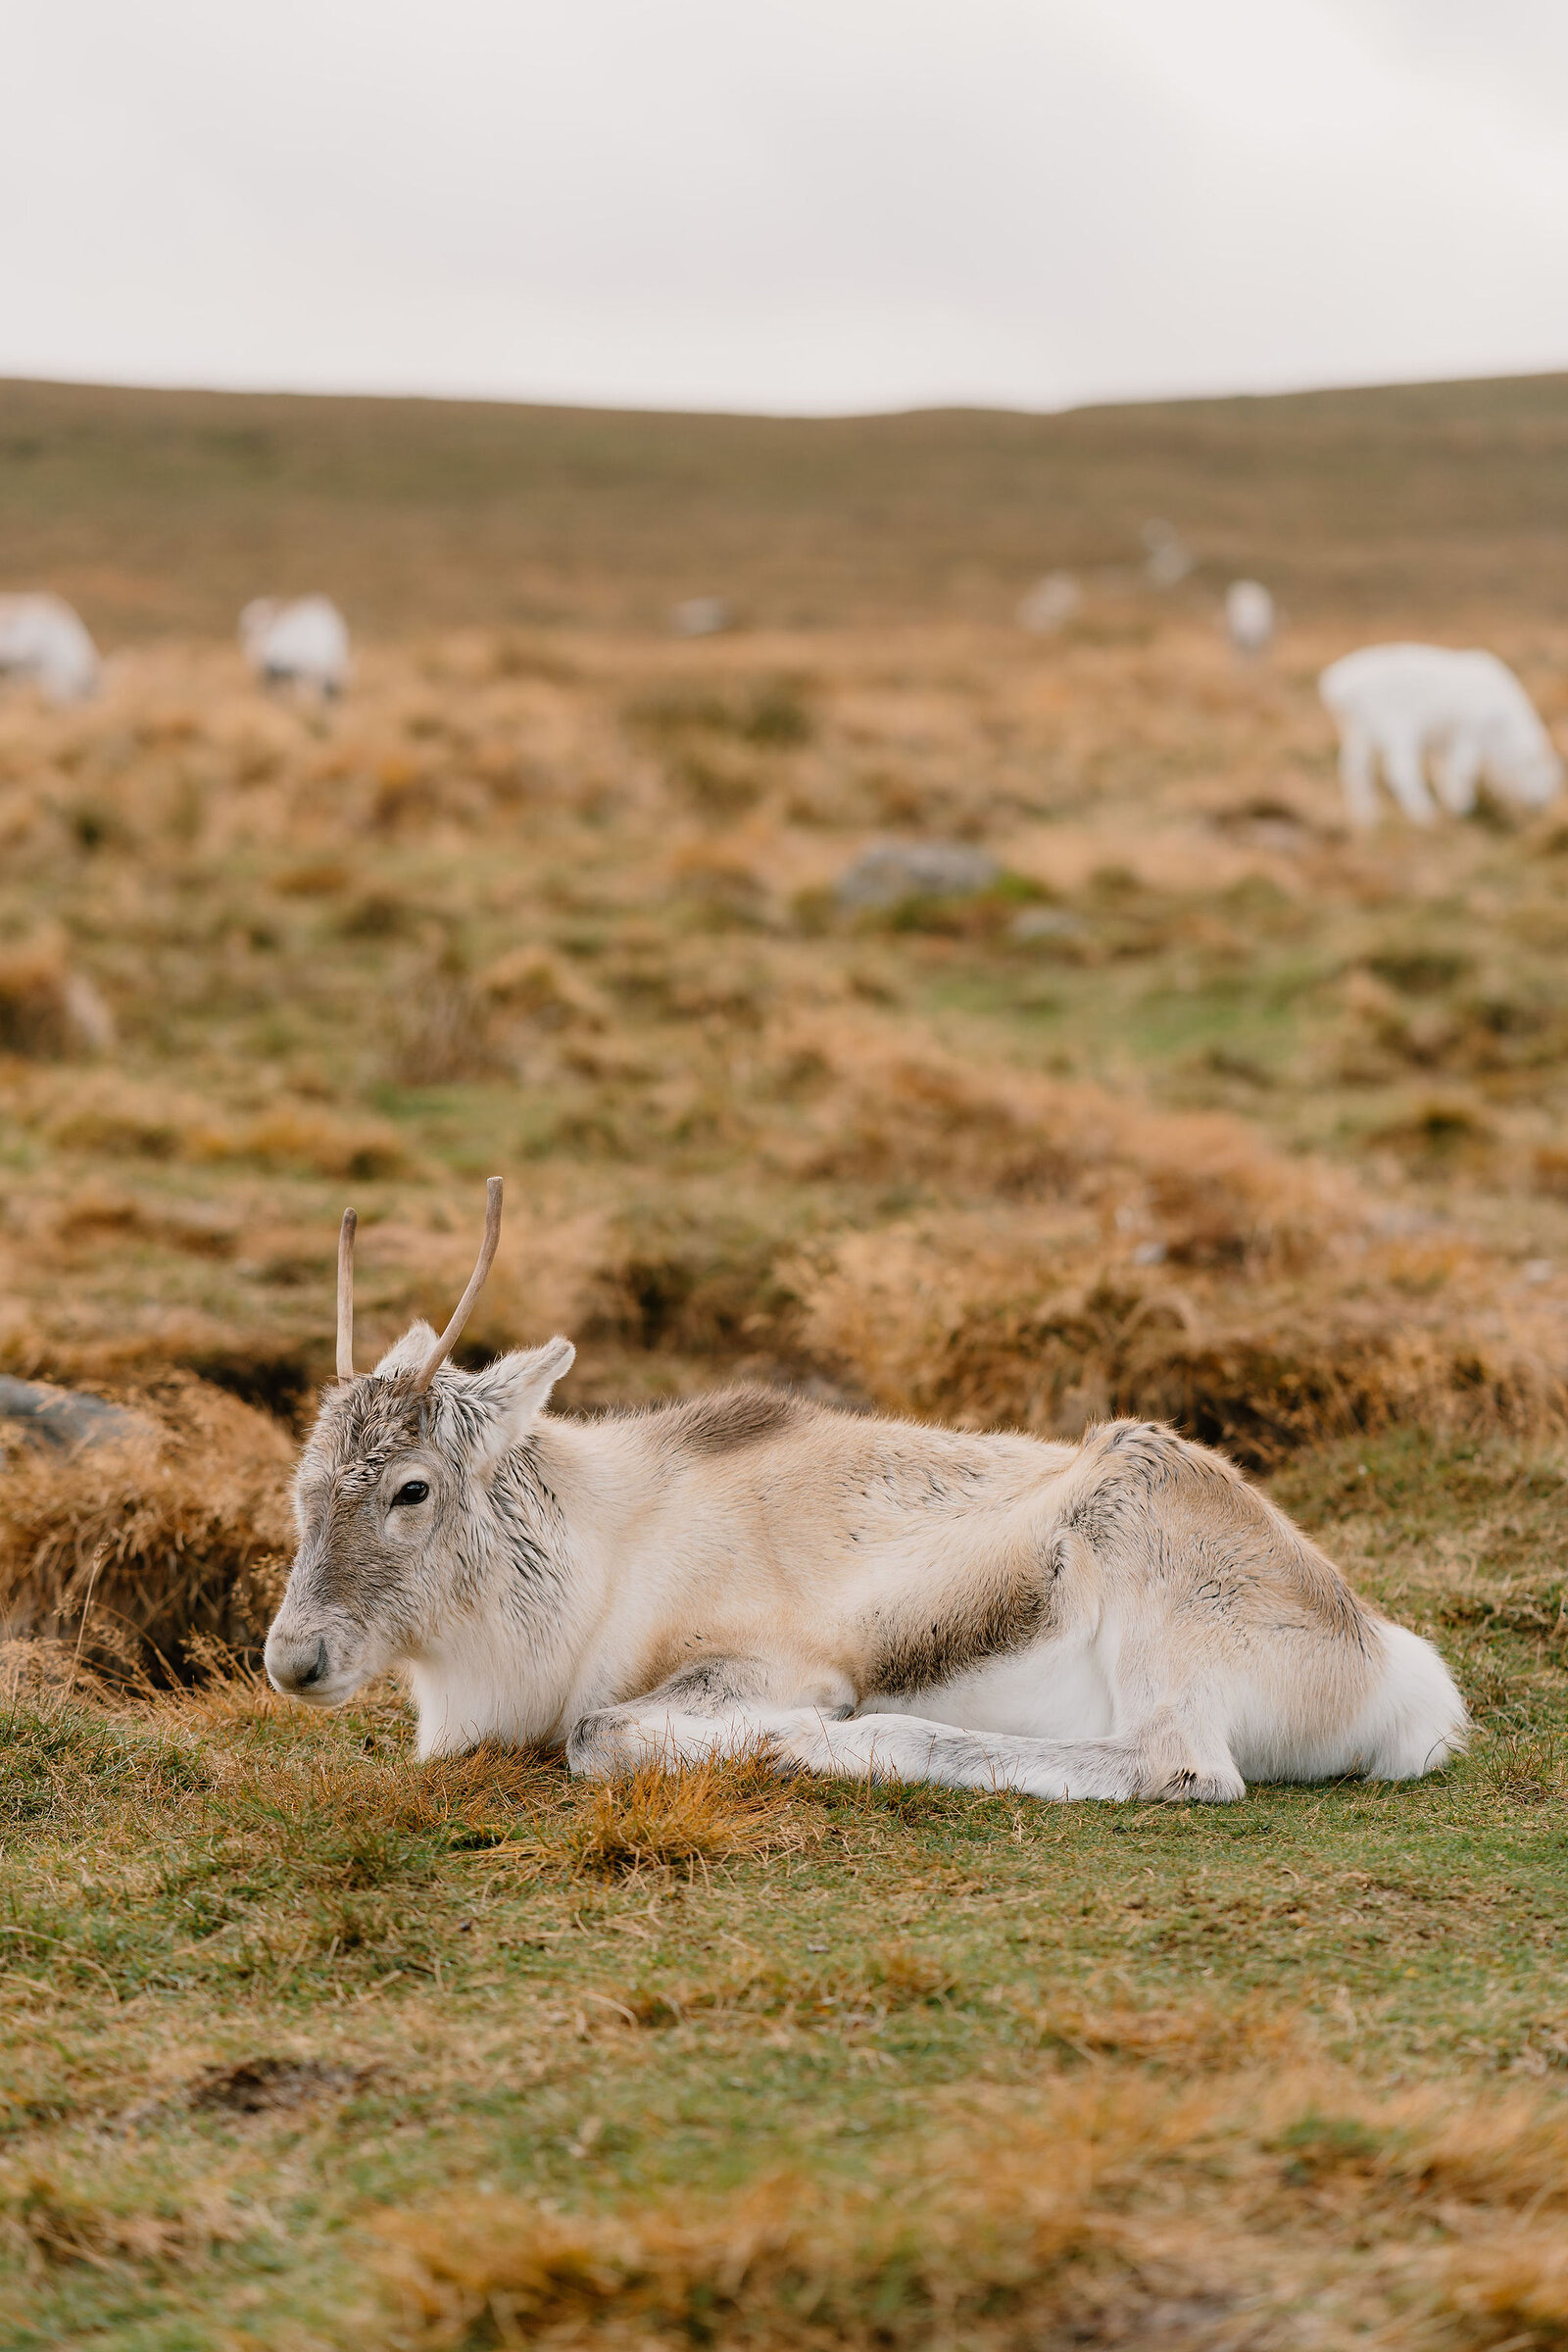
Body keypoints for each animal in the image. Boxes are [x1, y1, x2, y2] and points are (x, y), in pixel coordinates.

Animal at [263, 1182, 1468, 1800]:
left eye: (411, 1488)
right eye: (303, 1484)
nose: (292, 1660)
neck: (599, 1551)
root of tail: (1392, 1675)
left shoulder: (757, 1664)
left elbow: (596, 1734)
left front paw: (789, 1733)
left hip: (1153, 1573)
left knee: (1182, 1767)